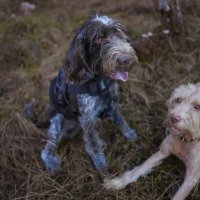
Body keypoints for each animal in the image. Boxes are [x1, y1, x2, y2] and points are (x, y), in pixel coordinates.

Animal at [40, 14, 138, 176]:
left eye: (119, 34)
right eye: (98, 39)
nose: (126, 60)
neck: (98, 80)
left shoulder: (113, 103)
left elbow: (121, 121)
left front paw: (130, 134)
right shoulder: (87, 119)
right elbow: (94, 146)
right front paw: (102, 168)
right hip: (57, 122)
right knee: (46, 150)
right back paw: (51, 163)